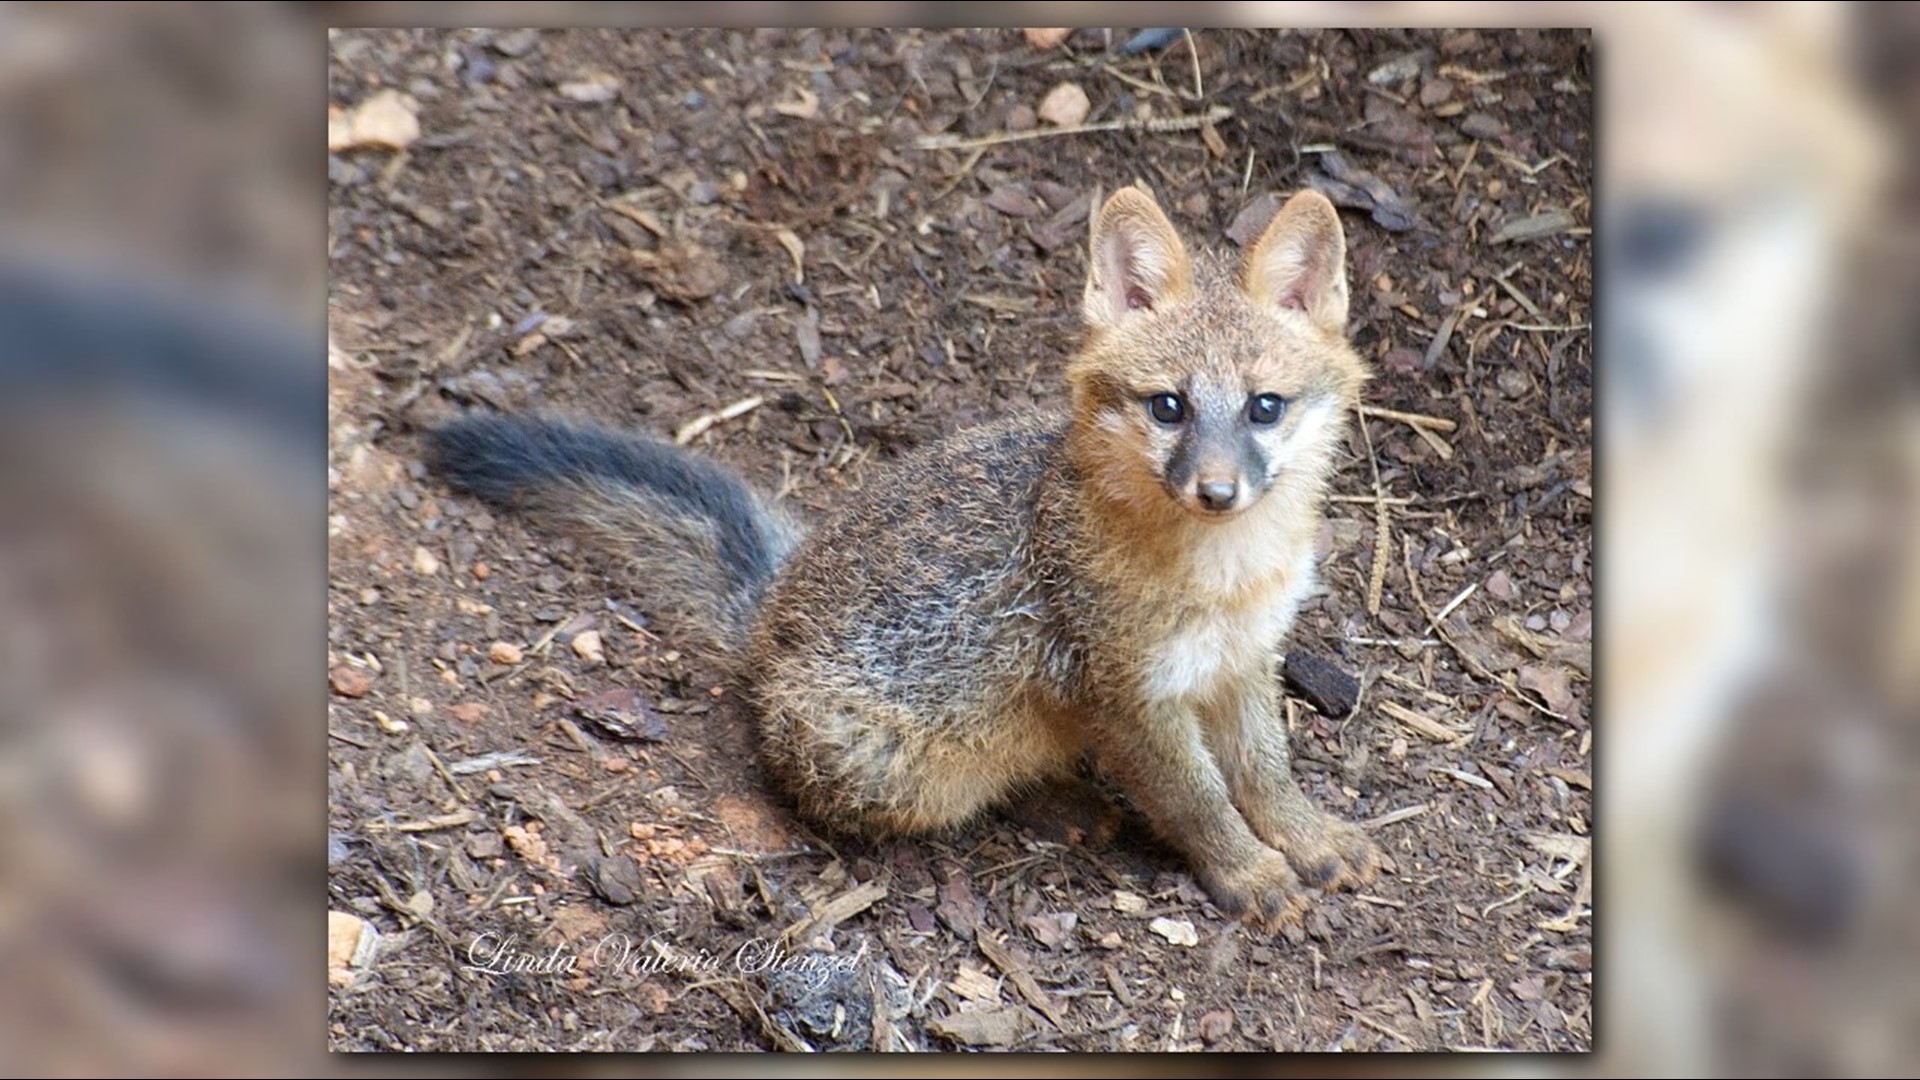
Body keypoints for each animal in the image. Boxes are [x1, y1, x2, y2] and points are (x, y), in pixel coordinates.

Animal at [427, 186, 1382, 923]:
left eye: (1264, 407)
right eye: (1169, 408)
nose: (1217, 490)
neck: (1224, 578)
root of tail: (773, 602)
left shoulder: (1244, 661)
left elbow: (1264, 771)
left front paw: (1308, 842)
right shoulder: (1126, 696)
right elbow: (1199, 798)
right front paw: (1250, 874)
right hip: (905, 765)